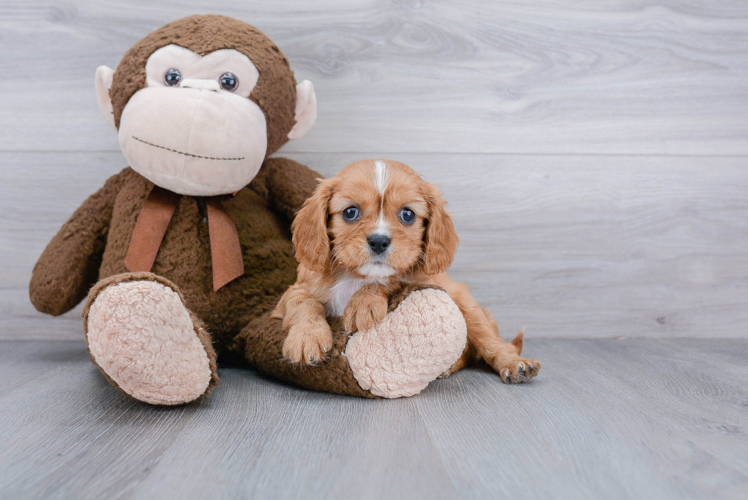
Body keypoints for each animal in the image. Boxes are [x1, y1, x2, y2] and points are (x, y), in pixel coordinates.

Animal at [272, 159, 540, 382]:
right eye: (350, 212)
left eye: (407, 214)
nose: (379, 241)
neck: (356, 277)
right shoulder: (293, 292)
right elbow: (304, 303)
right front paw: (307, 338)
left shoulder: (429, 280)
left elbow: (396, 278)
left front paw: (364, 302)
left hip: (467, 305)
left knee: (487, 343)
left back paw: (514, 364)